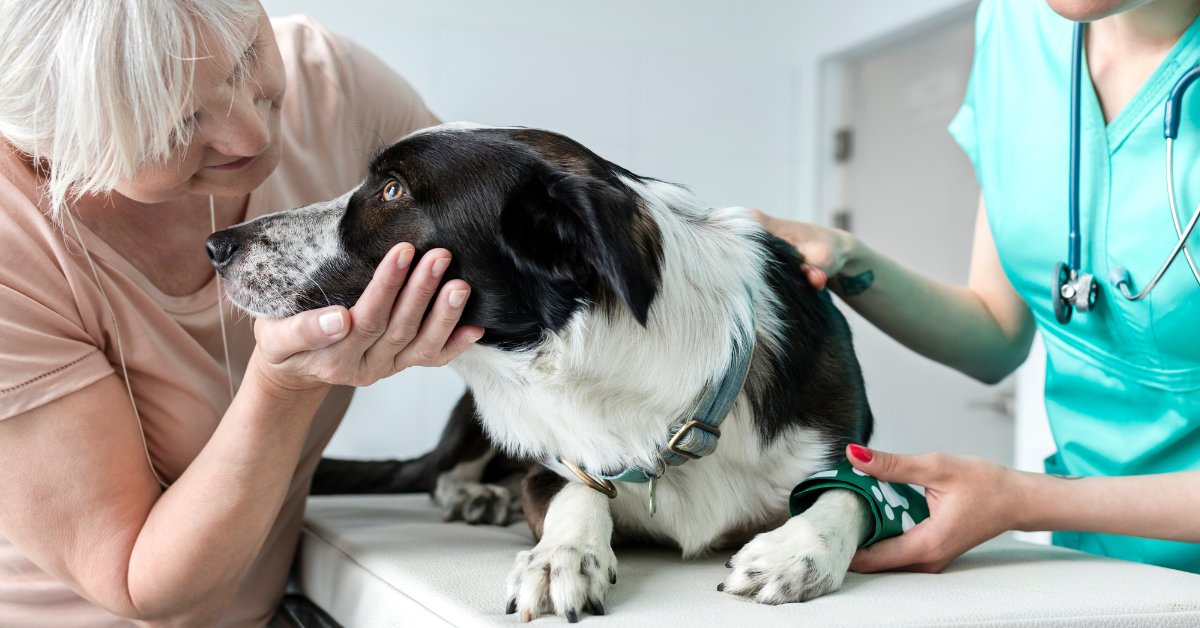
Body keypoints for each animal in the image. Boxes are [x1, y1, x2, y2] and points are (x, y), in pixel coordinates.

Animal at [208, 123, 873, 619]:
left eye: (392, 191)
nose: (216, 245)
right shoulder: (555, 459)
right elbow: (575, 487)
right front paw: (563, 554)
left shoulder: (843, 446)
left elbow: (852, 492)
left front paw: (797, 551)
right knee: (442, 473)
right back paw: (478, 494)